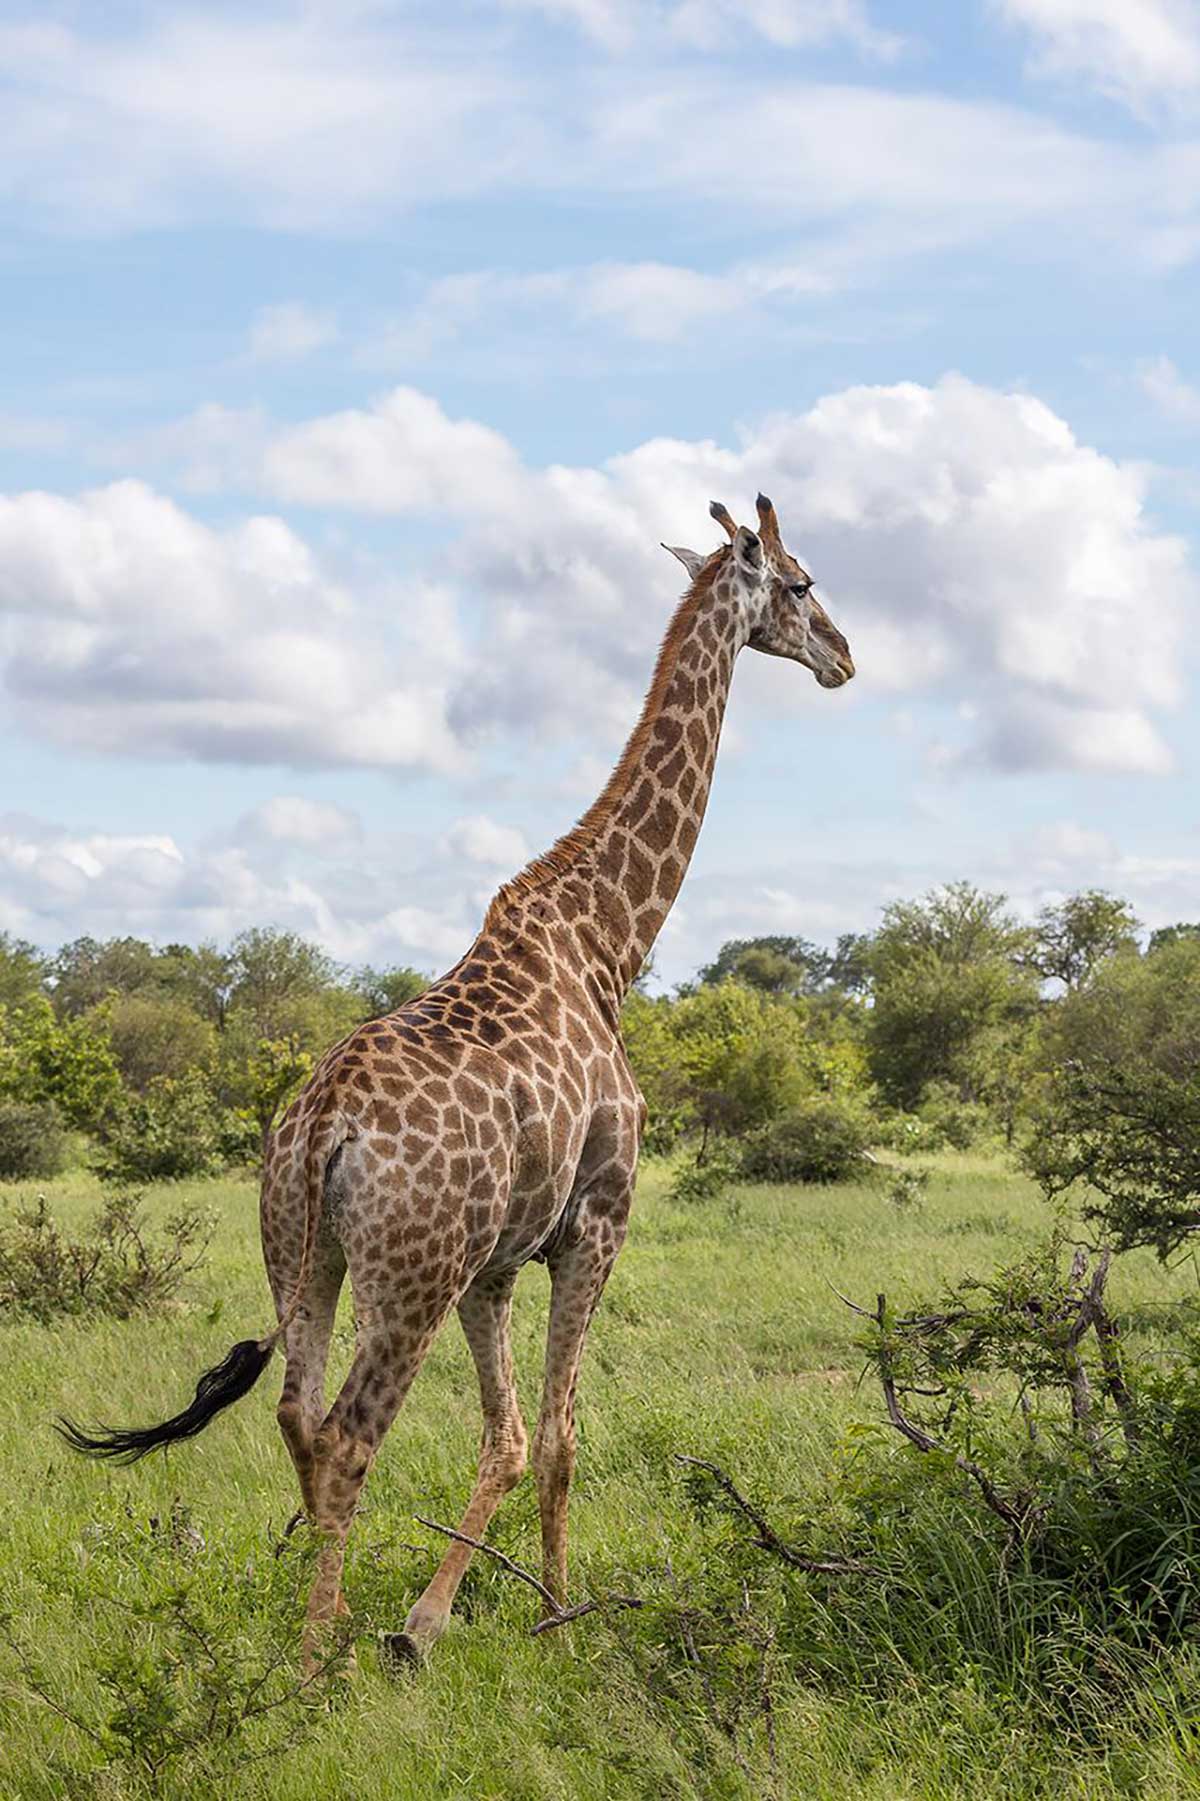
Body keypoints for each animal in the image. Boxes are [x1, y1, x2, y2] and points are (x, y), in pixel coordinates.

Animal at [58, 493, 854, 1667]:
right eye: (800, 582)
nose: (845, 655)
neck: (607, 943)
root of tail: (324, 1124)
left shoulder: (497, 1260)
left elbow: (507, 1436)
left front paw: (427, 1620)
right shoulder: (596, 1221)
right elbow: (560, 1435)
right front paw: (555, 1617)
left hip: (307, 1249)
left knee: (295, 1412)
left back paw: (333, 1618)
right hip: (412, 1272)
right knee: (348, 1430)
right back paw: (315, 1658)